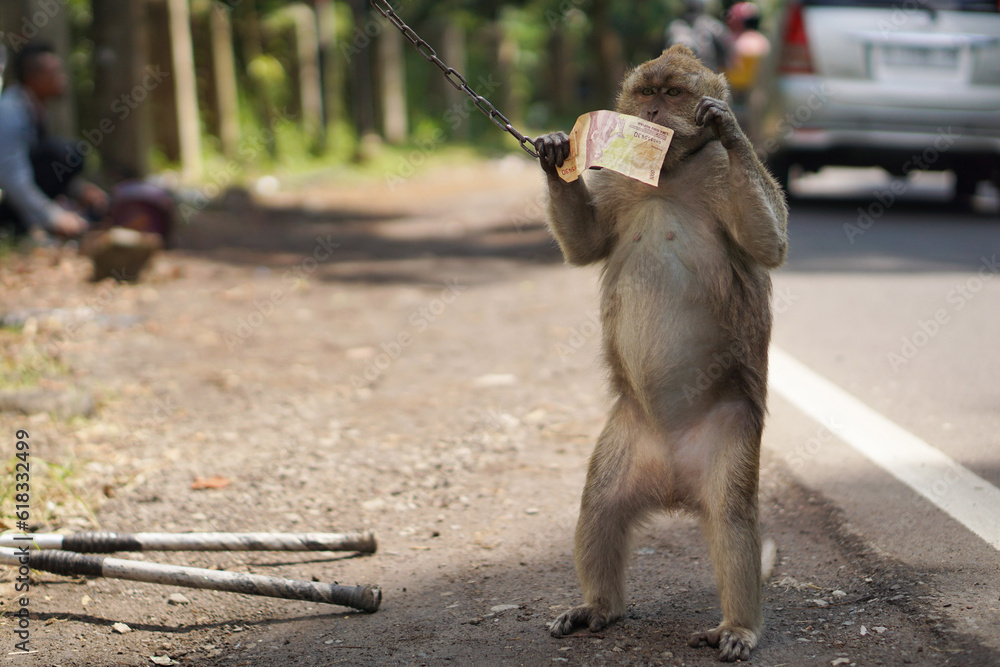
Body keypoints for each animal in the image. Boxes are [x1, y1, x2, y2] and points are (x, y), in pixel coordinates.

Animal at [536, 45, 784, 664]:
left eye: (673, 94)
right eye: (646, 91)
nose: (650, 111)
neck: (666, 176)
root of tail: (673, 480)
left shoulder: (720, 172)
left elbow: (769, 244)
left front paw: (728, 125)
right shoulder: (615, 184)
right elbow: (585, 247)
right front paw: (554, 152)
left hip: (731, 437)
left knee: (732, 521)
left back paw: (738, 626)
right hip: (628, 436)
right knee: (599, 507)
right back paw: (598, 607)